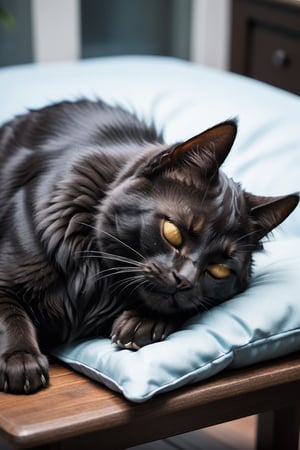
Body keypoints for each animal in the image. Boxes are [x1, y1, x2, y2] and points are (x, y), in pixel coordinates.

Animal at [0, 99, 298, 394]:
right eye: (173, 232)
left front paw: (142, 322)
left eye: (220, 269)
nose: (183, 280)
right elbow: (10, 313)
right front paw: (21, 360)